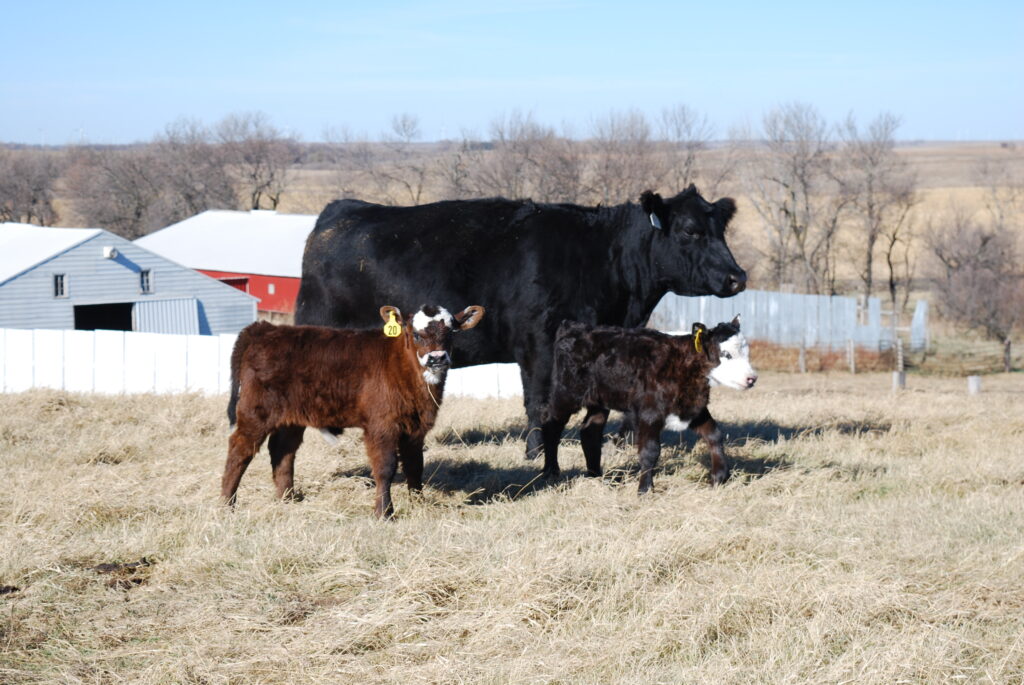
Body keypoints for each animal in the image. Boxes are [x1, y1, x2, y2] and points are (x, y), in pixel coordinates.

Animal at [221, 304, 485, 518]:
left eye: (451, 332)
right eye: (415, 333)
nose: (437, 358)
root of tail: (264, 328)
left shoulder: (416, 427)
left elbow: (414, 466)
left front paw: (418, 504)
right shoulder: (382, 425)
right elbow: (385, 468)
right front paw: (384, 513)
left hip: (292, 417)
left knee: (282, 451)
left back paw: (288, 499)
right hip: (256, 412)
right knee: (240, 449)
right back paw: (227, 504)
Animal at [295, 185, 747, 461]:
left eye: (720, 229)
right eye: (688, 230)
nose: (737, 276)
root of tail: (339, 212)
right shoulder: (538, 344)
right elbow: (539, 403)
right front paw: (536, 454)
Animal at [540, 317, 756, 492]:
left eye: (747, 353)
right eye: (726, 354)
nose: (752, 379)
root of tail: (575, 326)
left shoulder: (693, 408)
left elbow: (714, 434)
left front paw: (719, 477)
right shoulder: (649, 412)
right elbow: (650, 451)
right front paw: (645, 490)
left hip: (599, 401)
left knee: (589, 431)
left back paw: (596, 475)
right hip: (566, 394)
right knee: (551, 425)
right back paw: (551, 472)